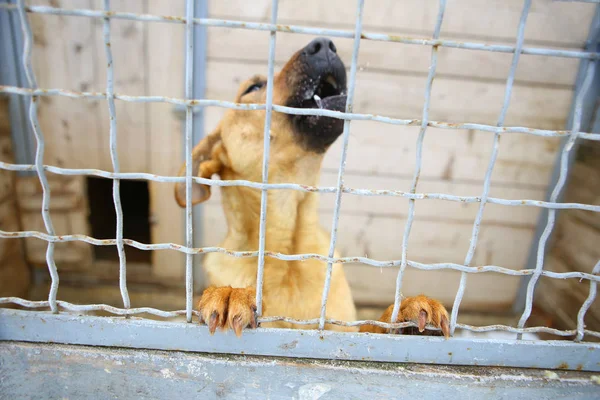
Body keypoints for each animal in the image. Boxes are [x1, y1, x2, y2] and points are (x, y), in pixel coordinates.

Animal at [175, 37, 450, 338]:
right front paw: (230, 293)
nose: (325, 44)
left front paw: (403, 312)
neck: (289, 256)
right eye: (254, 87)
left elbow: (372, 327)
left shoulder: (345, 330)